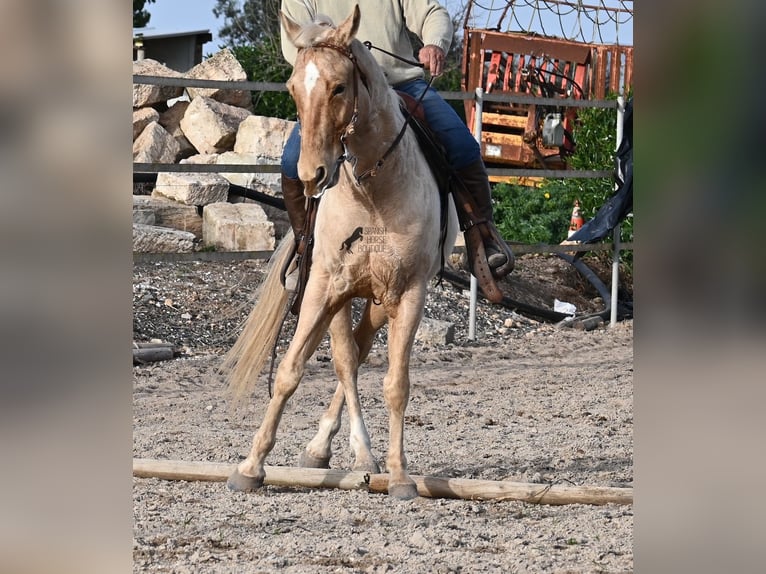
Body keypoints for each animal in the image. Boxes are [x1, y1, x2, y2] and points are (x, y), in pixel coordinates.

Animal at [224, 3, 462, 500]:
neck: (372, 190)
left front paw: (400, 475)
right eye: (294, 88)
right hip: (340, 294)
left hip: (379, 299)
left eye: (338, 87)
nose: (312, 174)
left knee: (359, 350)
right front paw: (251, 466)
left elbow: (396, 384)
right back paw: (332, 449)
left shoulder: (409, 291)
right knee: (346, 358)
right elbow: (292, 369)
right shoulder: (324, 286)